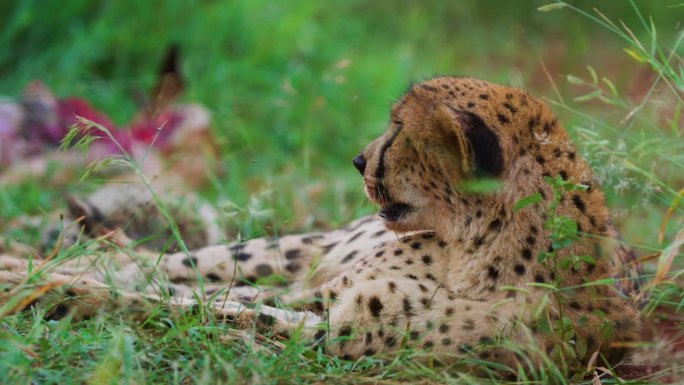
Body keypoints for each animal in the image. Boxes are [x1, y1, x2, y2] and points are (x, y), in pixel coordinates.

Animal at [0, 76, 640, 370]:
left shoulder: (332, 325)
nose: (358, 159)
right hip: (293, 250)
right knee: (155, 261)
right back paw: (25, 260)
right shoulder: (327, 295)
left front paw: (55, 294)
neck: (474, 249)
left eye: (398, 132)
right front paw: (42, 284)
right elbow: (186, 294)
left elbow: (208, 307)